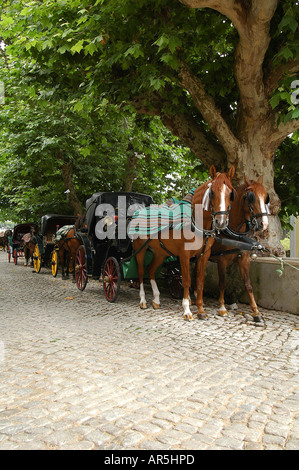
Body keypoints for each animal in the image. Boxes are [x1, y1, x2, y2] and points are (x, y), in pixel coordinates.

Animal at [131, 164, 237, 320]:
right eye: (211, 192)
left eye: (231, 193)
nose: (221, 222)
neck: (196, 224)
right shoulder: (184, 255)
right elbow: (186, 280)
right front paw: (187, 309)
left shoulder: (204, 255)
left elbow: (200, 282)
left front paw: (201, 310)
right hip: (140, 249)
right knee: (140, 272)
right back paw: (143, 300)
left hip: (161, 252)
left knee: (150, 270)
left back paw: (156, 300)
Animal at [210, 174, 270, 322]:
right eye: (251, 197)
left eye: (266, 197)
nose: (264, 224)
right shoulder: (222, 260)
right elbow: (222, 283)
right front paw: (222, 307)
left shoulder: (243, 259)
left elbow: (248, 284)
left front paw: (256, 312)